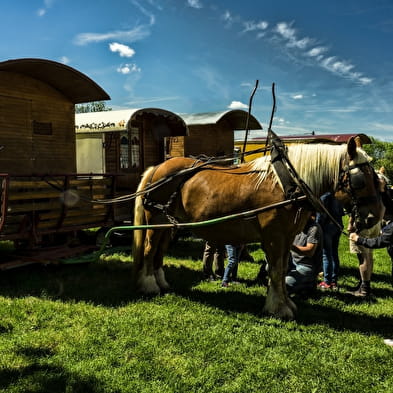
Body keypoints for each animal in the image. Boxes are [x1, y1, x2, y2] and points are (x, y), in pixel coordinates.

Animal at [132, 136, 382, 320]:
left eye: (376, 179)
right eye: (361, 179)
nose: (375, 216)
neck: (287, 184)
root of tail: (158, 167)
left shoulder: (287, 238)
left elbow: (283, 270)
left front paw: (286, 303)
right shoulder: (274, 237)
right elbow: (276, 271)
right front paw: (278, 308)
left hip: (168, 224)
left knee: (159, 251)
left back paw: (162, 282)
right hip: (155, 220)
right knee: (149, 250)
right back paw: (149, 285)